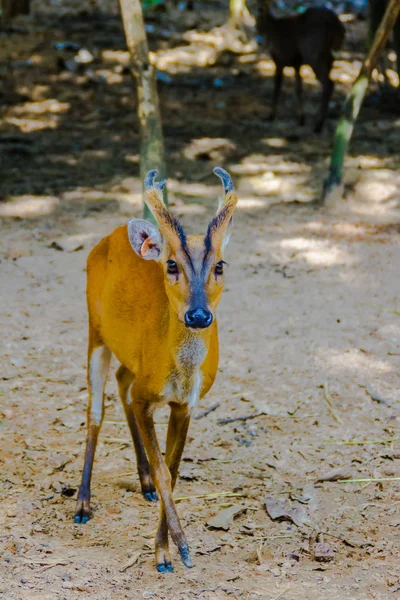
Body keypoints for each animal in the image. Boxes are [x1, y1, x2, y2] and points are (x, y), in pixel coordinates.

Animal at [74, 165, 238, 572]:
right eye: (172, 264)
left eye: (220, 265)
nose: (198, 315)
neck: (177, 373)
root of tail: (112, 235)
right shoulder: (147, 397)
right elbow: (165, 468)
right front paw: (177, 550)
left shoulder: (186, 404)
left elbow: (173, 470)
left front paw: (163, 547)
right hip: (94, 331)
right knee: (95, 410)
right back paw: (82, 503)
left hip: (128, 359)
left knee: (121, 381)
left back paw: (144, 483)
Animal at [258, 0, 346, 132]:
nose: (261, 9)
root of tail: (338, 26)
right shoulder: (296, 63)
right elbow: (298, 89)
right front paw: (301, 119)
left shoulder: (280, 59)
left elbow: (277, 88)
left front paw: (270, 116)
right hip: (331, 57)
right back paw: (318, 121)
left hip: (313, 53)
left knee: (328, 83)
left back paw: (318, 125)